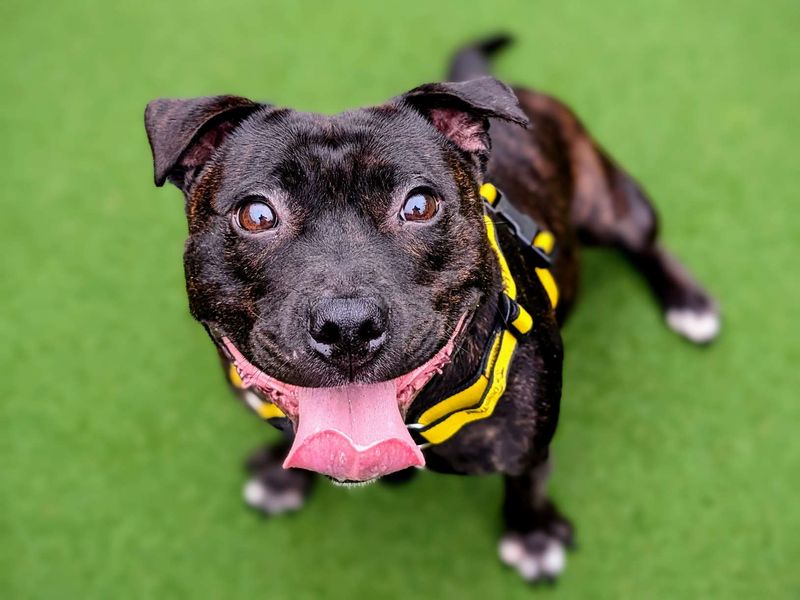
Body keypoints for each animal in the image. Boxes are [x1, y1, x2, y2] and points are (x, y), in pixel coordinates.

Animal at [145, 36, 724, 580]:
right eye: (257, 215)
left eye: (419, 205)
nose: (348, 326)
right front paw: (276, 472)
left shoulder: (530, 446)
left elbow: (527, 486)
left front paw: (532, 535)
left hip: (613, 204)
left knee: (646, 243)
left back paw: (688, 302)